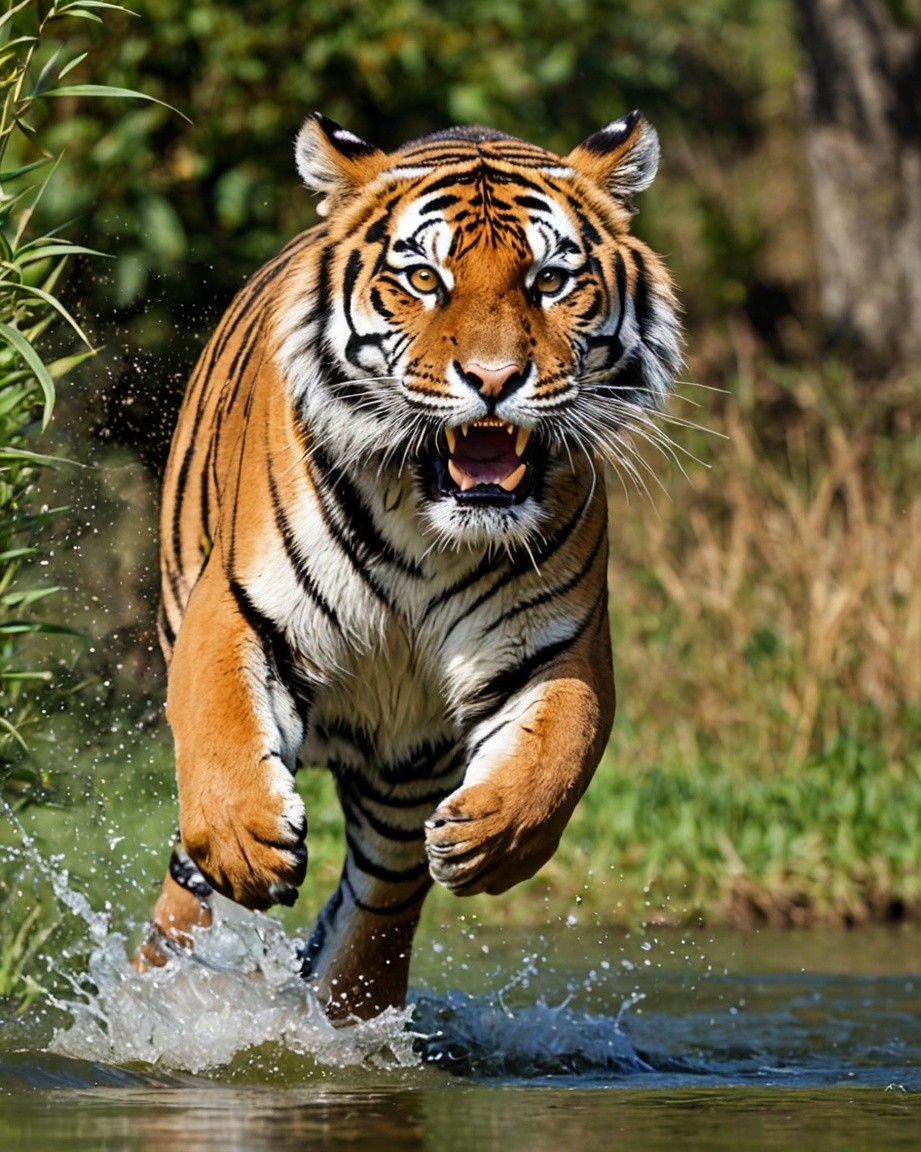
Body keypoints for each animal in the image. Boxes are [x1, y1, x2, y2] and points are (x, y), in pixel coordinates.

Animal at [132, 111, 682, 1021]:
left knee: (380, 898)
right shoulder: (239, 603)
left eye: (550, 280)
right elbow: (216, 736)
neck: (430, 521)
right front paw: (249, 843)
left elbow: (557, 753)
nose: (494, 380)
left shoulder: (560, 644)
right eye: (423, 278)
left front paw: (493, 838)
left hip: (402, 772)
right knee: (183, 894)